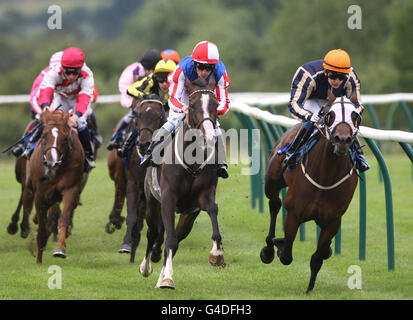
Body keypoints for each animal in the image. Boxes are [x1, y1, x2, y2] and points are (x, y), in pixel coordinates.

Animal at [24, 109, 84, 264]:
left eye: (65, 138)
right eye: (44, 135)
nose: (52, 163)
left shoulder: (70, 189)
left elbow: (63, 218)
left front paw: (60, 249)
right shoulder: (40, 194)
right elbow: (41, 228)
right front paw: (38, 260)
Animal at [146, 78, 225, 290]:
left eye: (215, 104)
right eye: (193, 105)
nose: (210, 137)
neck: (192, 161)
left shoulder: (203, 196)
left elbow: (213, 209)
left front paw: (217, 254)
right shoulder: (167, 199)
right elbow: (169, 239)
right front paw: (167, 278)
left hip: (188, 215)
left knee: (174, 236)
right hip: (152, 203)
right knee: (152, 233)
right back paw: (147, 267)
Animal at [260, 93, 360, 292]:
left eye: (355, 115)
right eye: (330, 115)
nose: (342, 140)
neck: (326, 175)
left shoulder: (333, 220)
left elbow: (317, 258)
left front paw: (309, 289)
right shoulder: (294, 213)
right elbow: (287, 254)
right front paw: (278, 245)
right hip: (272, 182)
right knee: (274, 204)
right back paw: (268, 248)